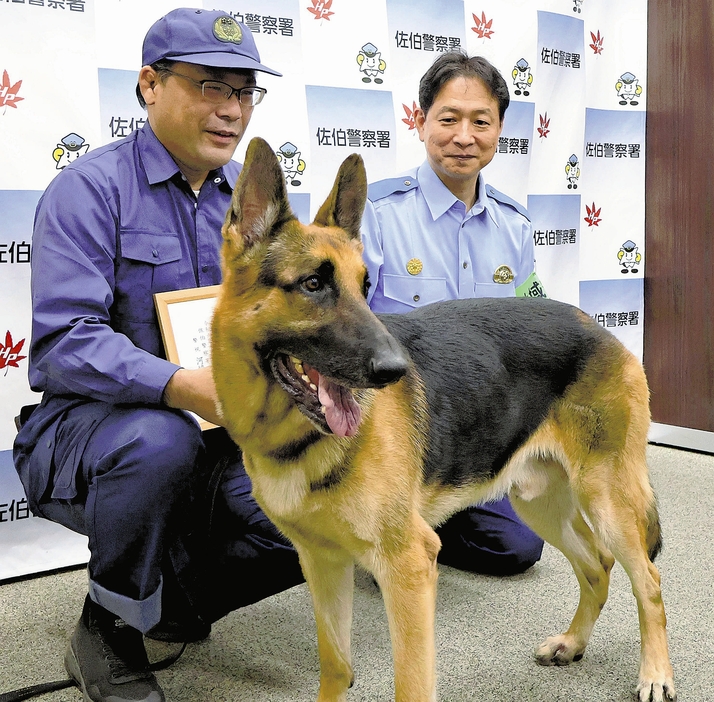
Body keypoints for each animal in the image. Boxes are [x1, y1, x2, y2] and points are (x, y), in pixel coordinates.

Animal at [210, 139, 672, 702]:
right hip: (539, 500)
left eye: (365, 286)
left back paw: (656, 674)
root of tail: (601, 329)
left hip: (606, 499)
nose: (396, 370)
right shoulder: (322, 563)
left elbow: (411, 683)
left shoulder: (409, 567)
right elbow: (336, 667)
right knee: (597, 566)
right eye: (313, 284)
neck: (290, 434)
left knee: (647, 581)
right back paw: (573, 642)